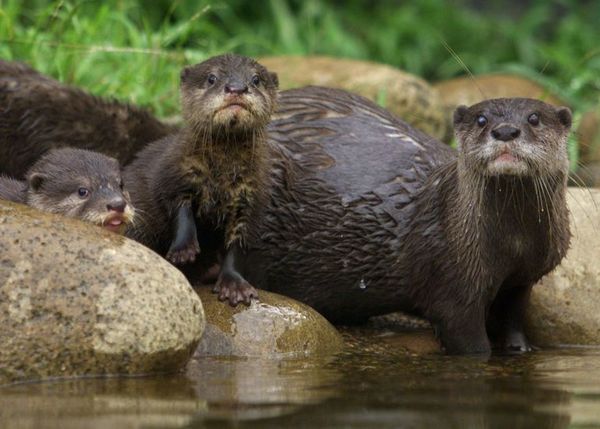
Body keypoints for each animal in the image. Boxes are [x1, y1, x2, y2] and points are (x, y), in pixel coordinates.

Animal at [126, 54, 278, 304]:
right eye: (211, 78)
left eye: (256, 79)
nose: (237, 88)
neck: (221, 178)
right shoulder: (175, 174)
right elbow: (179, 210)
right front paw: (183, 250)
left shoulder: (251, 197)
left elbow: (238, 244)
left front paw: (234, 285)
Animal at [245, 87, 572, 354]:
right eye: (481, 120)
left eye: (534, 118)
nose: (505, 131)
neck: (513, 244)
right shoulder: (451, 277)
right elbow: (467, 337)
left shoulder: (524, 277)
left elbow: (513, 319)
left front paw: (521, 348)